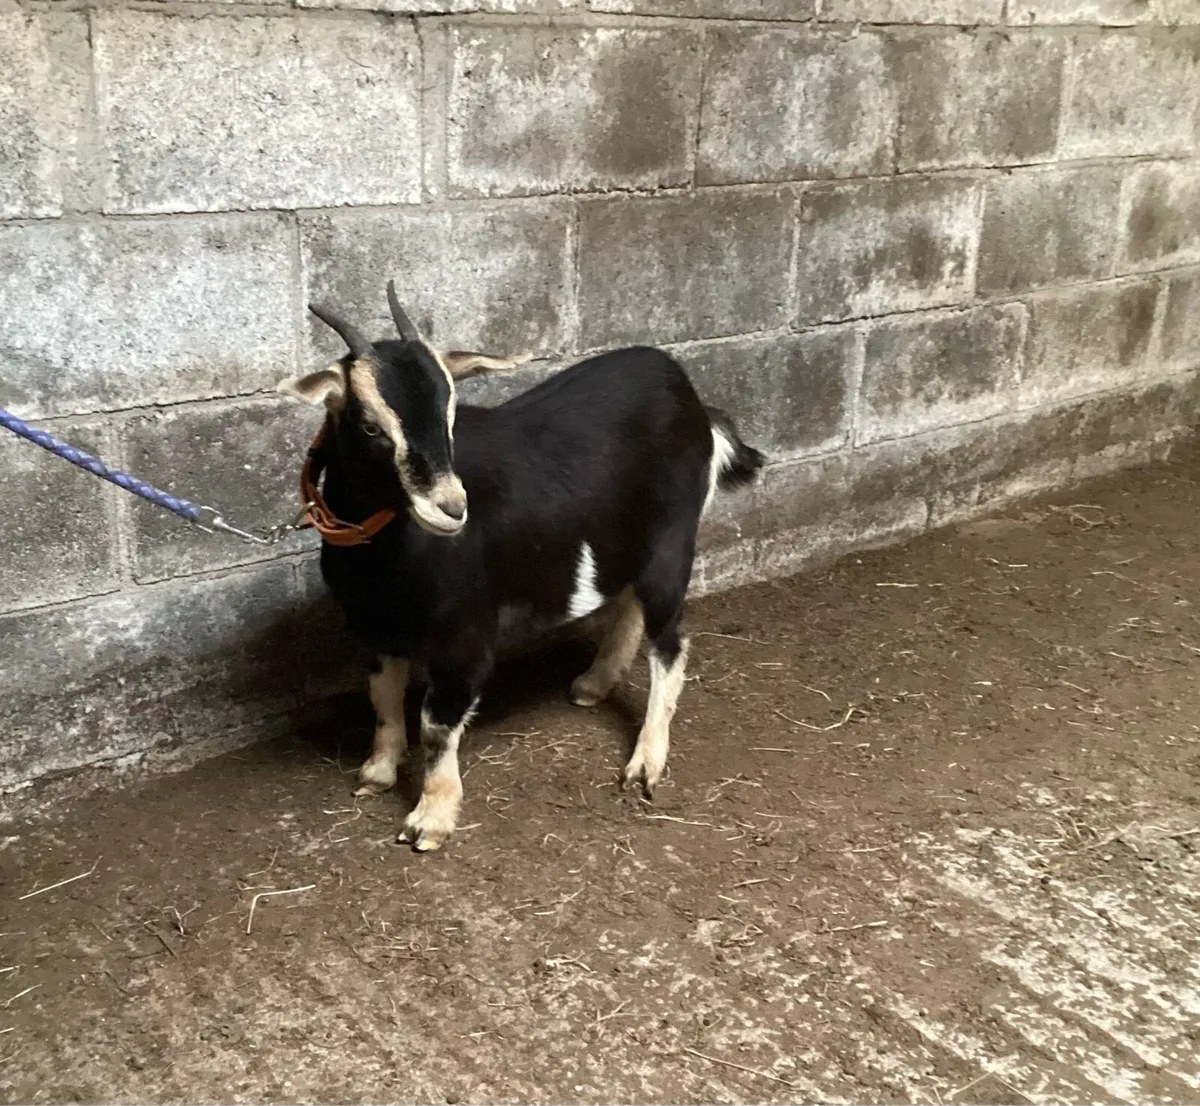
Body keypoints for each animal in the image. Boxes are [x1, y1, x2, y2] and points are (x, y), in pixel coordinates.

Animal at [278, 283, 764, 851]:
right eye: (371, 424)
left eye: (450, 414)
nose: (452, 508)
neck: (385, 555)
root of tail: (692, 399)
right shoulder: (376, 628)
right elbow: (382, 695)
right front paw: (377, 771)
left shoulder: (465, 637)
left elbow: (436, 724)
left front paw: (431, 818)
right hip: (624, 543)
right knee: (628, 604)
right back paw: (593, 683)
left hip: (671, 542)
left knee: (670, 642)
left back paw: (645, 763)